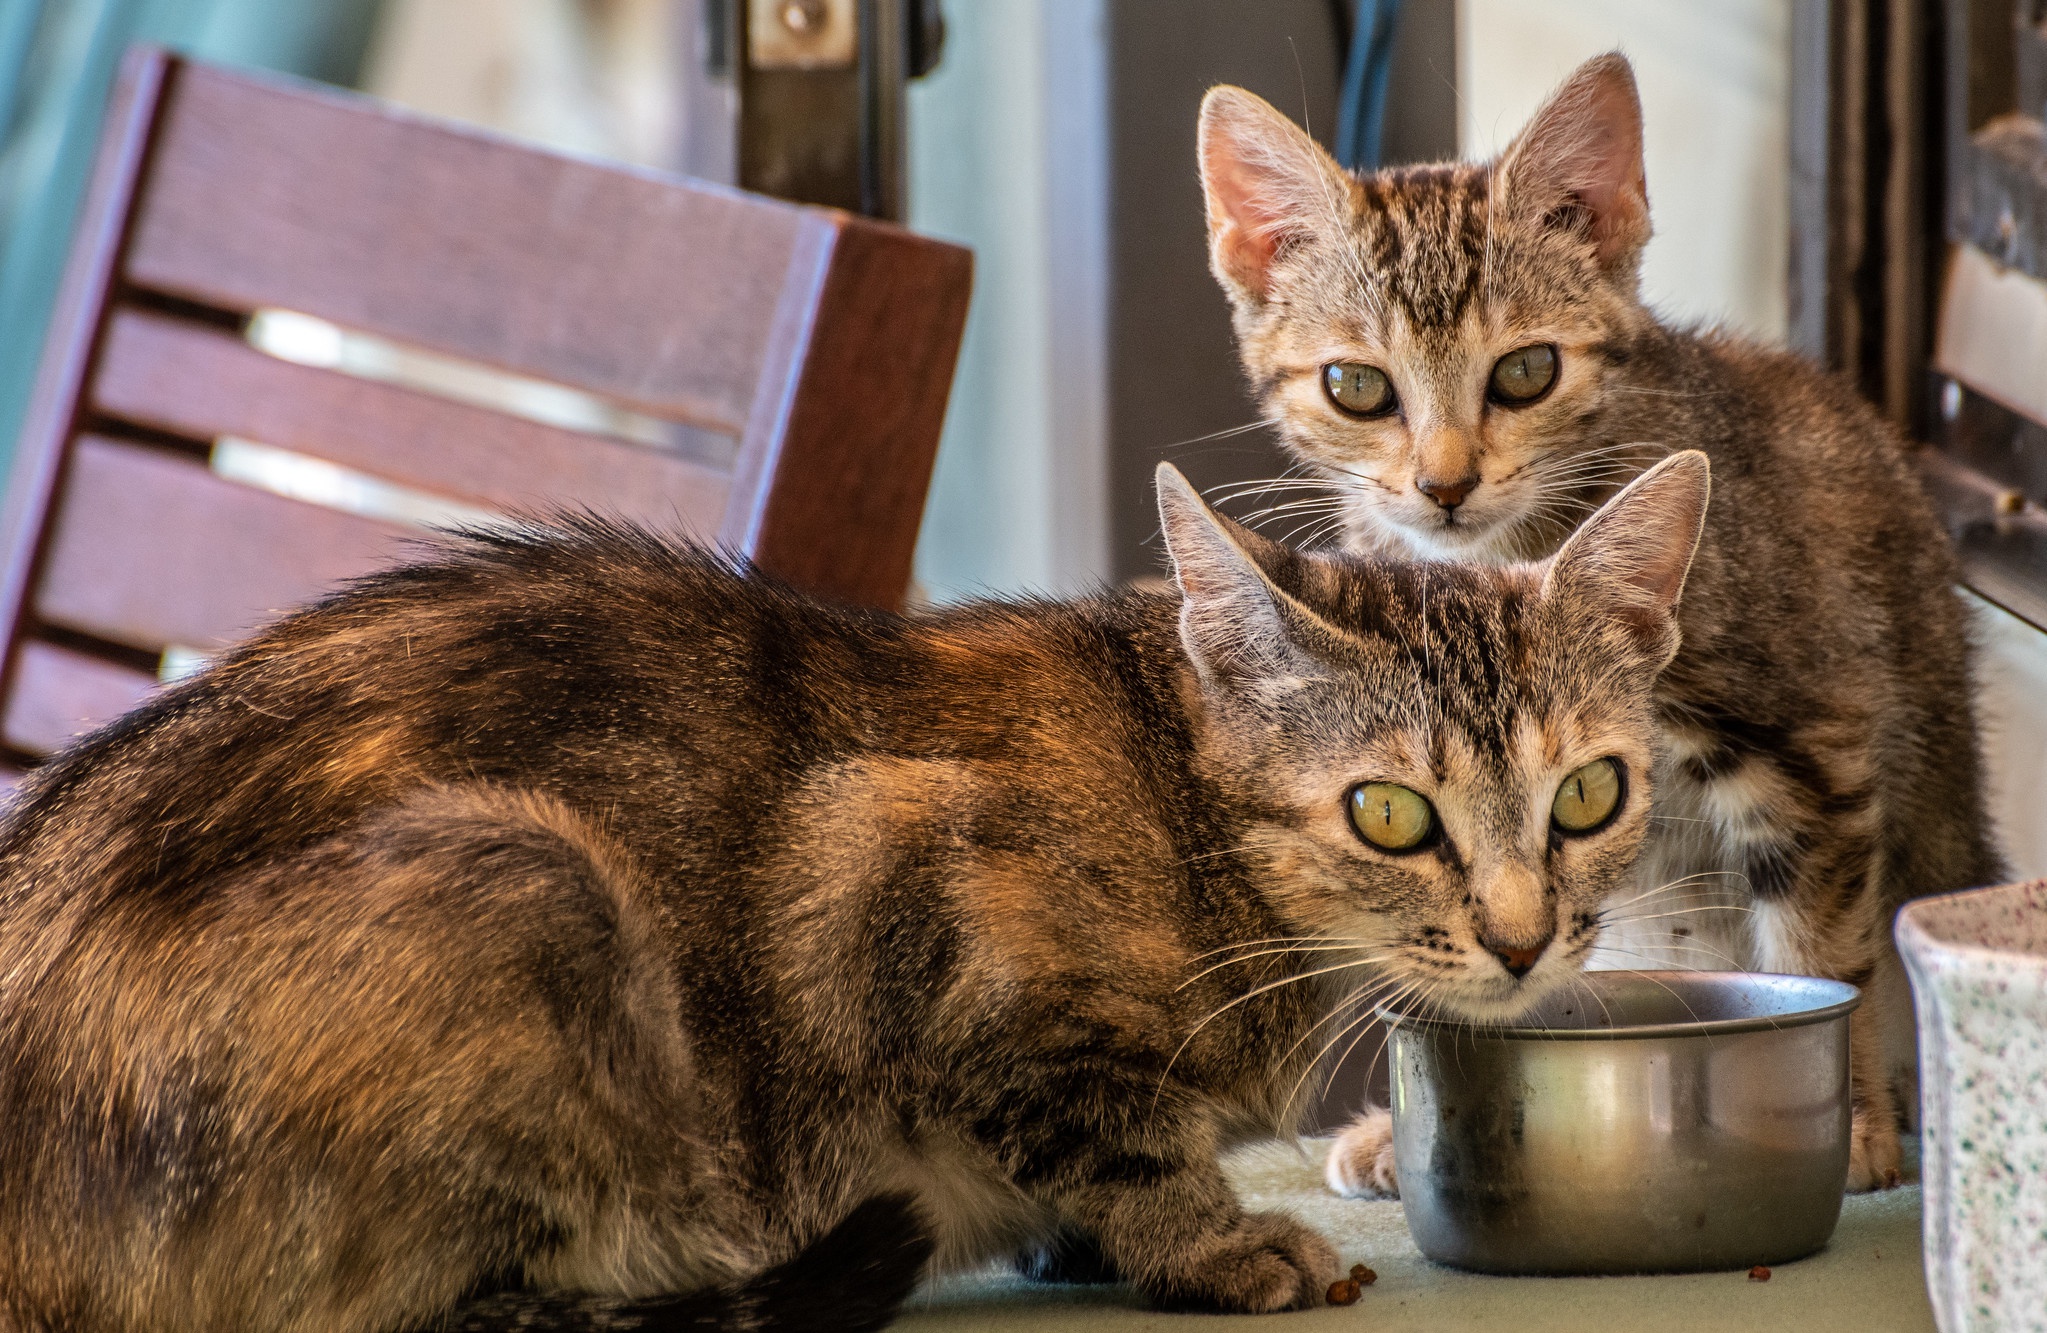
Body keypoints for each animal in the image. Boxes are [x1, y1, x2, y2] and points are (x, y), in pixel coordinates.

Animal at [0, 454, 1711, 1326]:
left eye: (1587, 794)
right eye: (1387, 811)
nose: (1520, 938)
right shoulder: (897, 887)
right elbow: (1102, 1123)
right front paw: (1207, 1238)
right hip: (524, 878)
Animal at [1195, 54, 2006, 1195]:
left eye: (1525, 371)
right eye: (1355, 387)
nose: (1443, 484)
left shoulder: (1813, 734)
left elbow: (1818, 944)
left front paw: (1842, 1123)